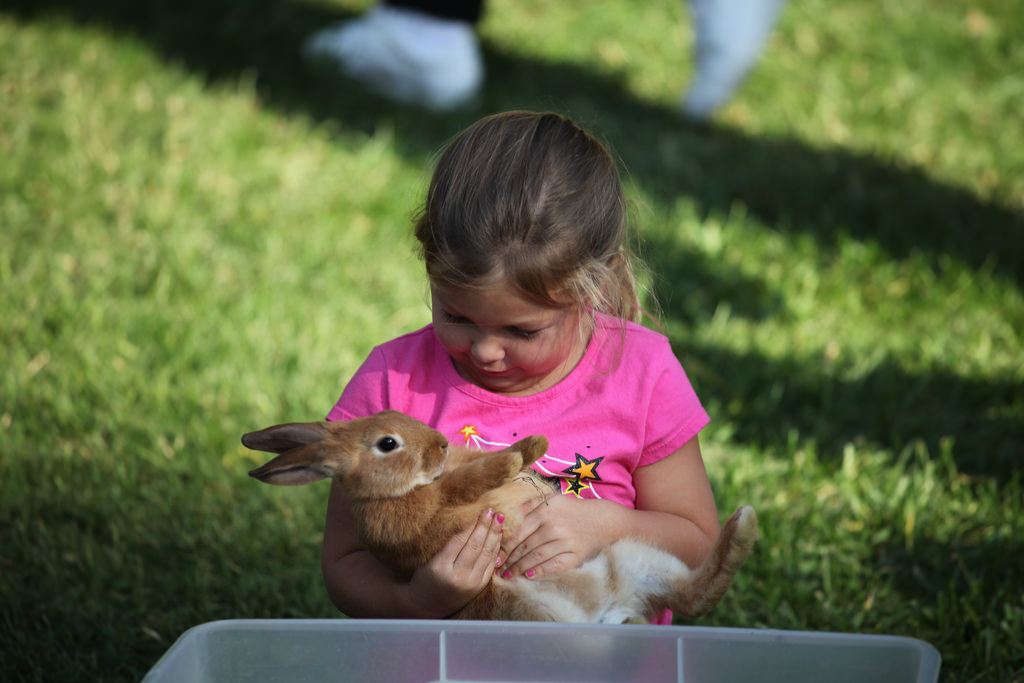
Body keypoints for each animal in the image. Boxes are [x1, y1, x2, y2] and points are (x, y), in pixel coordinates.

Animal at [243, 409, 757, 622]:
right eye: (388, 443)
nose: (441, 444)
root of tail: (608, 614)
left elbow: (475, 464)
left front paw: (533, 445)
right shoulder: (432, 511)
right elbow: (464, 483)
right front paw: (510, 463)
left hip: (633, 558)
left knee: (696, 595)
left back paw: (743, 525)